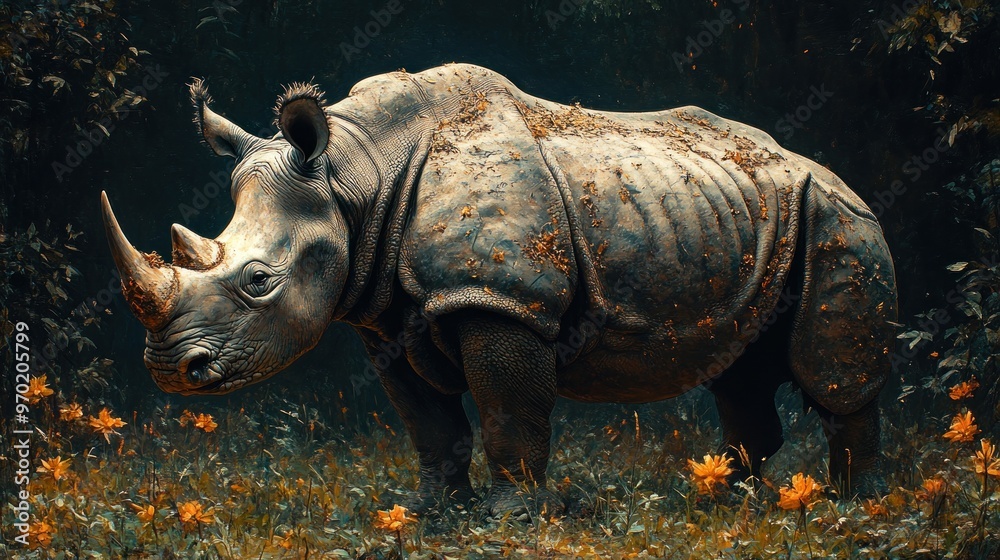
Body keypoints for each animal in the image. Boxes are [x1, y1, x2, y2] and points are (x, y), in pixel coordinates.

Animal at [101, 63, 897, 516]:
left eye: (259, 282)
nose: (171, 370)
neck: (357, 175)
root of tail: (835, 175)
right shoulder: (385, 316)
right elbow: (428, 424)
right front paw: (433, 515)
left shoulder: (502, 298)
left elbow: (509, 413)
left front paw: (508, 517)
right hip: (743, 217)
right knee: (738, 370)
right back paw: (723, 504)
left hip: (840, 220)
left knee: (833, 376)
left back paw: (848, 509)